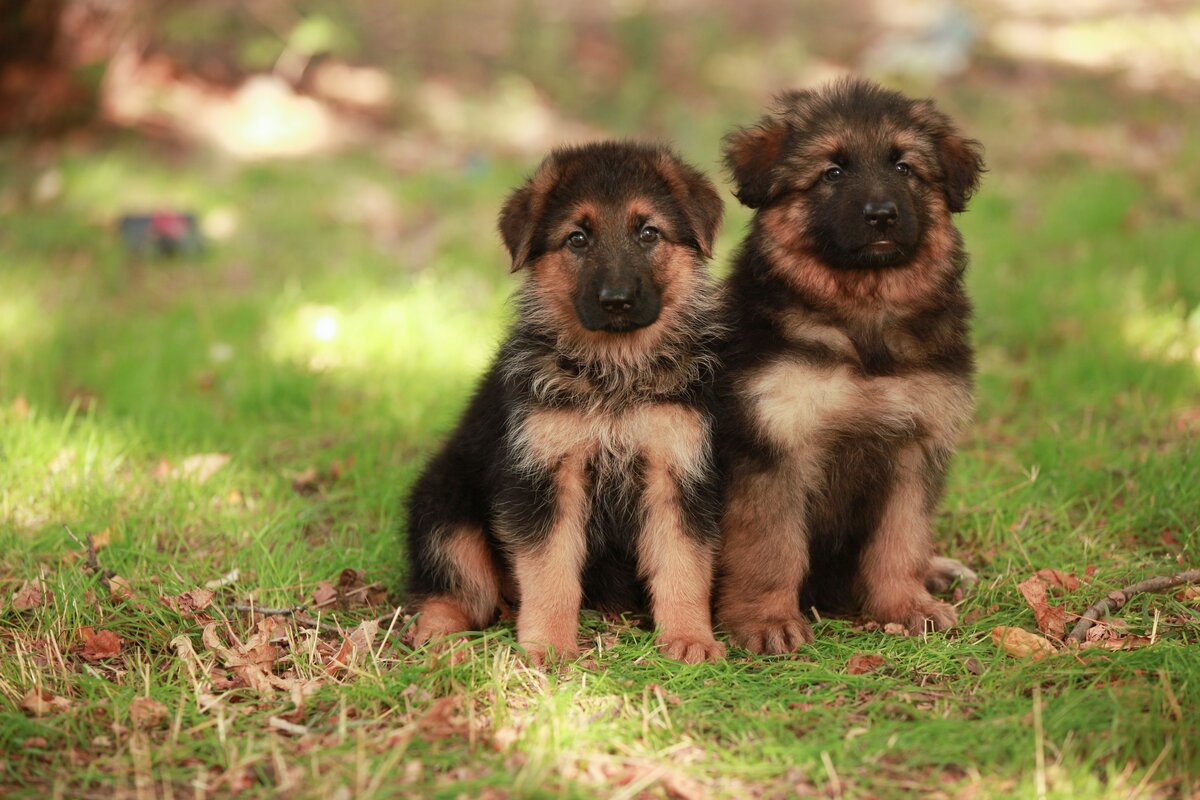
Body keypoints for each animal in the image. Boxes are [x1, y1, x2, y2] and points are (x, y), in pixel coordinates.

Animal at [403, 142, 724, 662]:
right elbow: (549, 569)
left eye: (649, 232)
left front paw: (690, 637)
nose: (617, 301)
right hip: (446, 512)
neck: (614, 373)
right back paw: (440, 639)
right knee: (453, 592)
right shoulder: (545, 476)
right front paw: (549, 647)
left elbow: (683, 564)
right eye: (577, 239)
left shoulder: (676, 471)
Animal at [710, 77, 984, 652]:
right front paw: (767, 621)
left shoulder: (915, 447)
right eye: (832, 172)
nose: (881, 214)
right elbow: (770, 548)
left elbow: (901, 540)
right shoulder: (773, 445)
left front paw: (905, 605)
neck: (862, 316)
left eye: (904, 167)